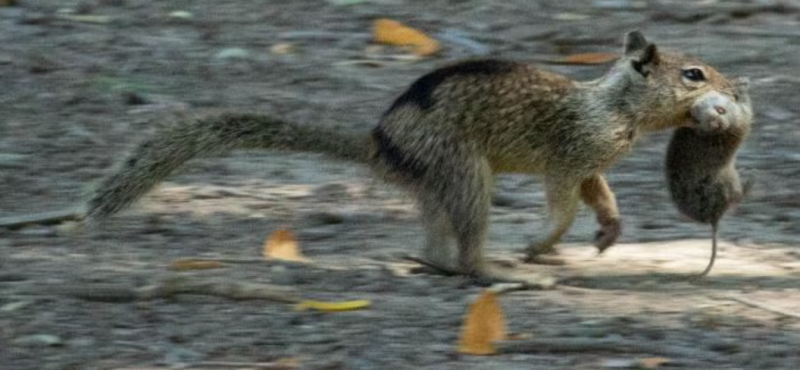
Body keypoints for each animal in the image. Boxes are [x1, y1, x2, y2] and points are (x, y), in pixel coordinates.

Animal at [83, 31, 736, 286]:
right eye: (694, 74)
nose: (733, 89)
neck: (615, 106)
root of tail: (379, 143)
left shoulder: (592, 164)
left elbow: (601, 195)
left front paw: (609, 231)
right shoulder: (569, 155)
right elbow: (562, 204)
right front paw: (542, 243)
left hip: (438, 184)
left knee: (436, 242)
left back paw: (436, 262)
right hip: (465, 172)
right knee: (468, 247)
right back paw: (498, 269)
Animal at [664, 78, 752, 280]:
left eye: (720, 110)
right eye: (697, 119)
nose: (717, 124)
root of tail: (714, 217)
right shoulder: (742, 119)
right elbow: (747, 108)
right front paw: (741, 85)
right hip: (729, 181)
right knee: (737, 197)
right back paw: (751, 180)